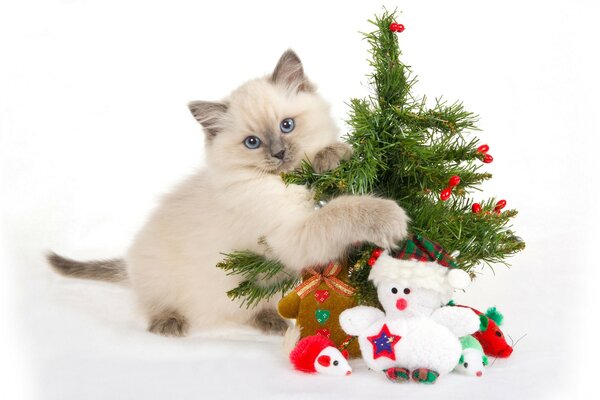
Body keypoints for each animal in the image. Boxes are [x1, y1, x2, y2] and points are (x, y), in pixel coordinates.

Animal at [49, 50, 410, 338]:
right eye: (253, 142)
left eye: (287, 126)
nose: (279, 154)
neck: (288, 181)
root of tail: (128, 263)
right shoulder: (291, 235)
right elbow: (342, 210)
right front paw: (391, 217)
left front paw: (335, 154)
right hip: (158, 274)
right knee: (154, 302)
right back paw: (170, 323)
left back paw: (271, 321)